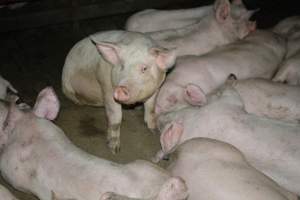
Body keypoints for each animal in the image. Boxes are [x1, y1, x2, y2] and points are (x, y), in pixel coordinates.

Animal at [0, 87, 188, 200]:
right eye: (22, 104)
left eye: (5, 122)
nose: (8, 100)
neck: (26, 128)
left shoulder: (11, 169)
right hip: (142, 165)